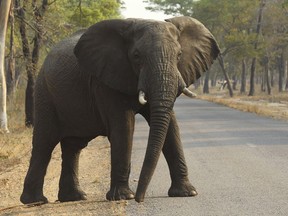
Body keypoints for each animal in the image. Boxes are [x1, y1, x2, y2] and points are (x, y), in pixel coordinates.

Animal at [20, 16, 219, 203]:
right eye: (136, 56)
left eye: (179, 55)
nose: (140, 198)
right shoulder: (105, 80)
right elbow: (124, 127)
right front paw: (124, 197)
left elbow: (171, 126)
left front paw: (187, 193)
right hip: (44, 93)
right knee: (44, 142)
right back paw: (36, 201)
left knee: (73, 146)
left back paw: (75, 197)